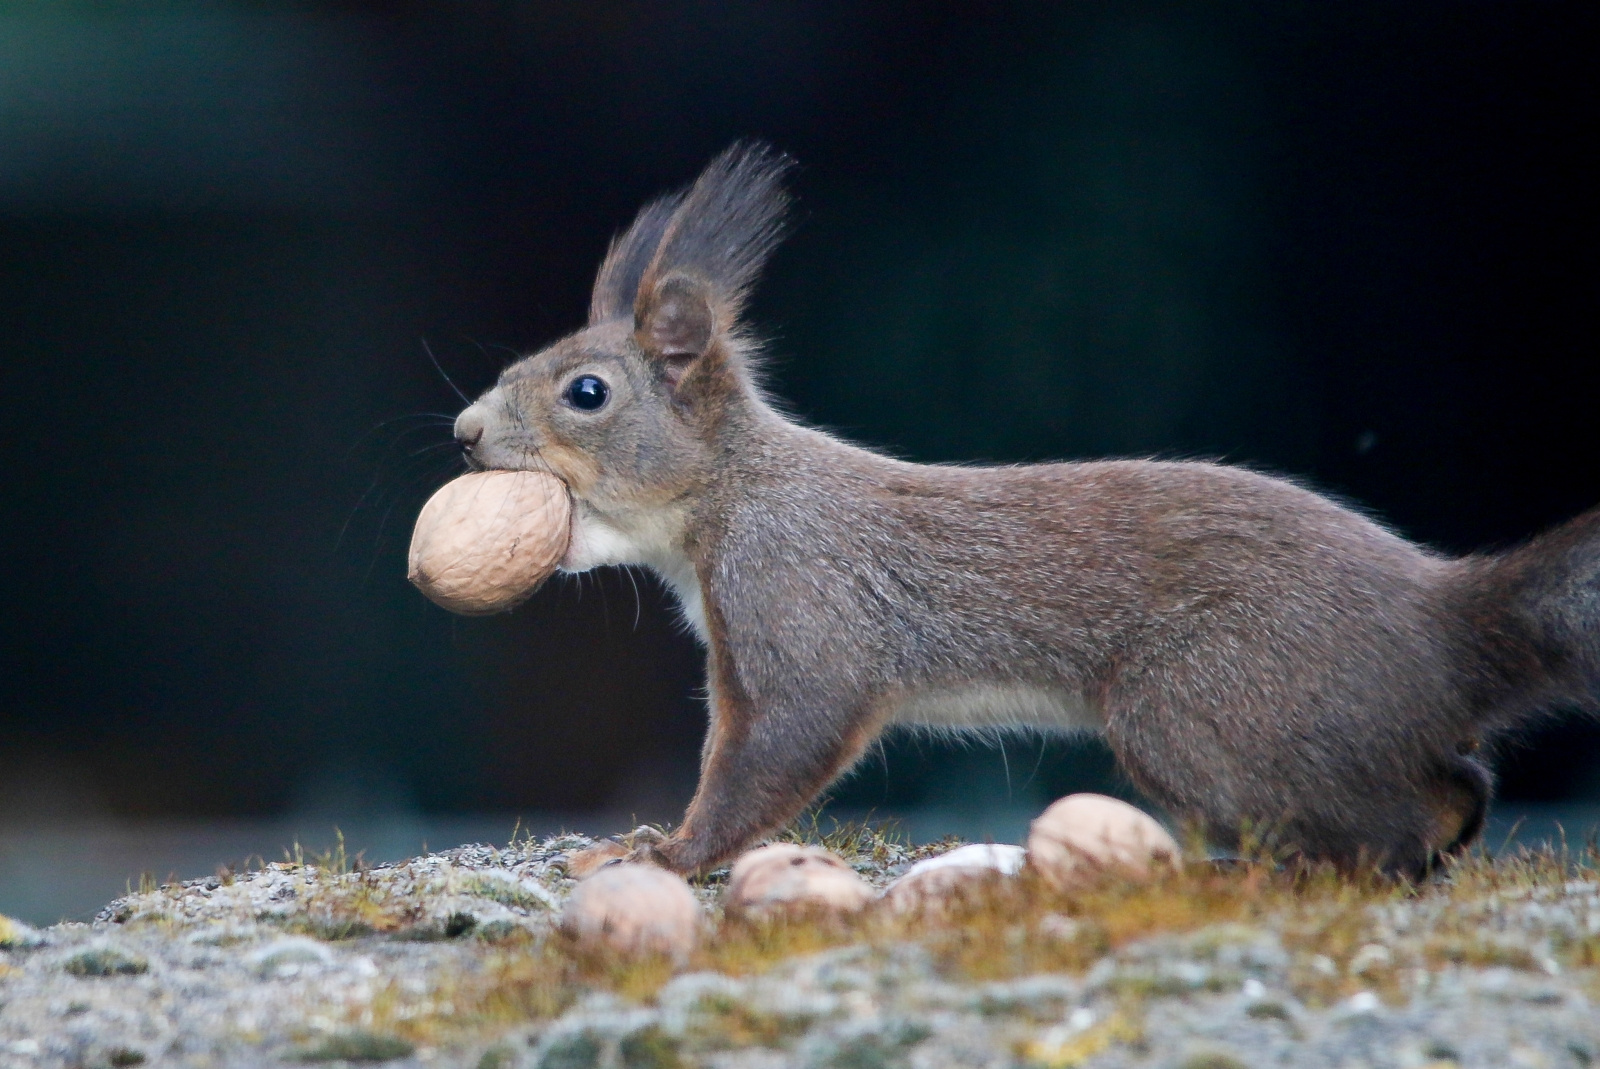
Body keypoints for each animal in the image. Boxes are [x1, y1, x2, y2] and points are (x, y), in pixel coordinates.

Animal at [448, 144, 1600, 876]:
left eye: (586, 392)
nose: (463, 433)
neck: (736, 493)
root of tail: (1444, 622)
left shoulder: (800, 603)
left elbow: (779, 744)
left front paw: (667, 852)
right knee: (1455, 778)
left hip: (1205, 708)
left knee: (1387, 823)